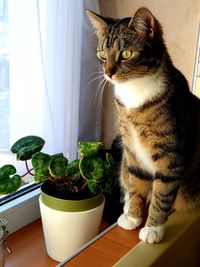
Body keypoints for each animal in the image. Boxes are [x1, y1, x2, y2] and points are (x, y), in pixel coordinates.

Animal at [86, 6, 200, 245]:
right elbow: (137, 184)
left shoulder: (170, 154)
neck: (135, 92)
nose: (108, 73)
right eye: (102, 55)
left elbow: (162, 194)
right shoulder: (132, 149)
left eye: (126, 54)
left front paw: (153, 228)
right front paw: (133, 216)